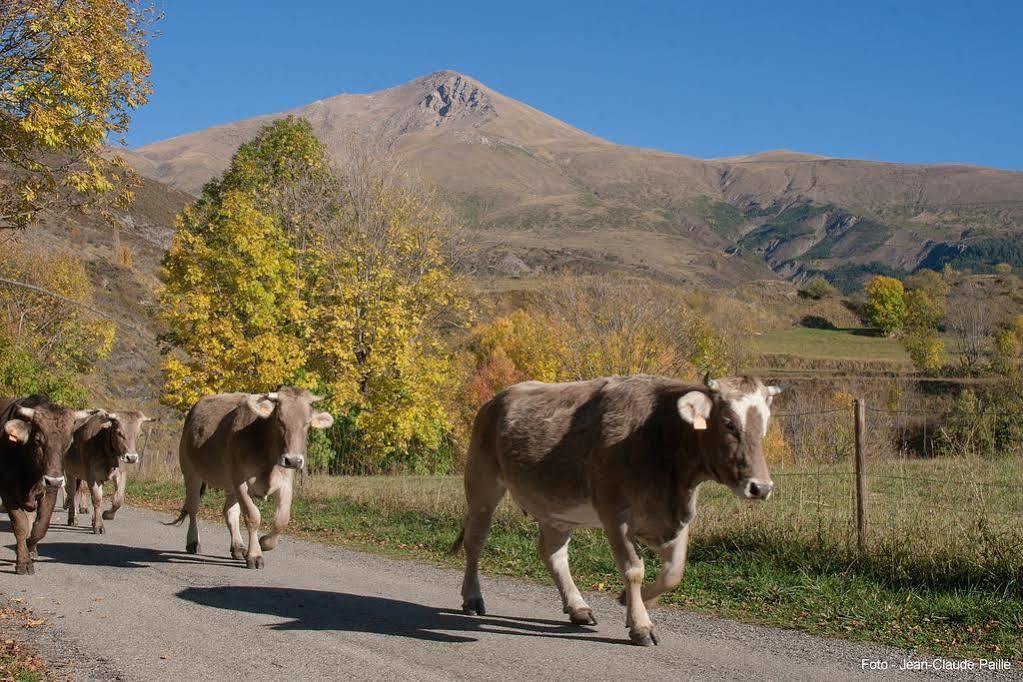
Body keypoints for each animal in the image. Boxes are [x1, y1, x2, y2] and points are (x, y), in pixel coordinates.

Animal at [0, 394, 94, 576]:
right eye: (37, 440)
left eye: (68, 443)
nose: (55, 480)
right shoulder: (8, 492)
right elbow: (20, 525)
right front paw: (23, 562)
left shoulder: (49, 492)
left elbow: (40, 526)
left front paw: (30, 549)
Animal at [167, 388, 333, 572]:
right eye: (279, 420)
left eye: (307, 423)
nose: (293, 461)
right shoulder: (242, 482)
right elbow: (253, 517)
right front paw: (255, 555)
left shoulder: (285, 485)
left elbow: (282, 520)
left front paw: (264, 543)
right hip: (191, 472)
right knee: (193, 507)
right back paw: (193, 542)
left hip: (230, 482)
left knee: (230, 512)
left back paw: (238, 548)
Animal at [454, 376, 781, 650]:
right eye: (728, 423)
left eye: (764, 425)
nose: (761, 487)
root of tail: (497, 398)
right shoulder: (615, 513)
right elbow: (633, 569)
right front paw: (641, 625)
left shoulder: (676, 516)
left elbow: (674, 572)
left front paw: (629, 600)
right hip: (482, 484)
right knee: (476, 542)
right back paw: (472, 598)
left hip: (556, 506)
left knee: (553, 554)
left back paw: (578, 607)